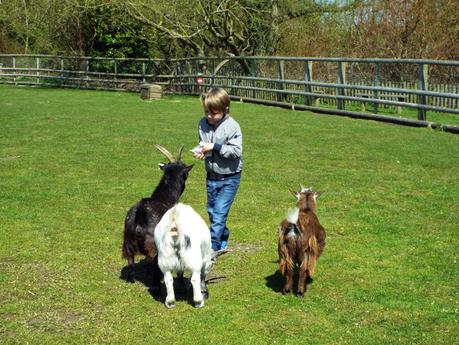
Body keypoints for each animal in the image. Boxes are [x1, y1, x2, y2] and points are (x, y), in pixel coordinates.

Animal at [121, 144, 193, 284]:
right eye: (186, 172)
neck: (162, 198)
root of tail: (140, 213)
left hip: (127, 241)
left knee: (130, 260)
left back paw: (131, 279)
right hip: (153, 245)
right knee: (152, 263)